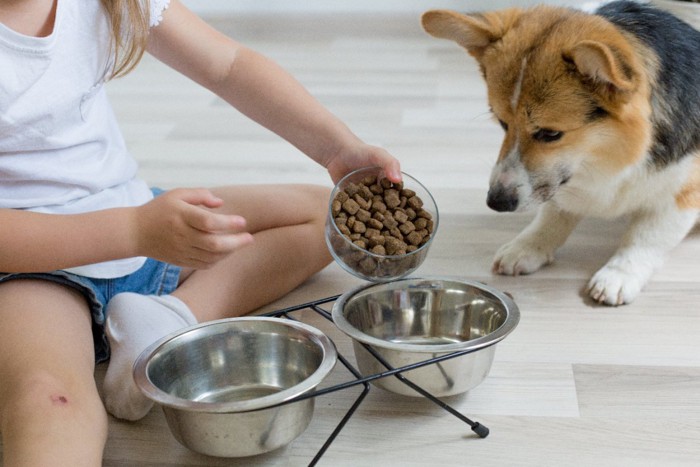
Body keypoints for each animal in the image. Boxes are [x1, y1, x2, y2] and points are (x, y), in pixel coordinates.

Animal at [422, 0, 700, 306]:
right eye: (502, 123)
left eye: (550, 134)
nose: (496, 202)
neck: (609, 158)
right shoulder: (560, 183)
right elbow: (553, 214)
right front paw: (527, 246)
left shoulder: (682, 194)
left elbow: (646, 237)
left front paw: (618, 275)